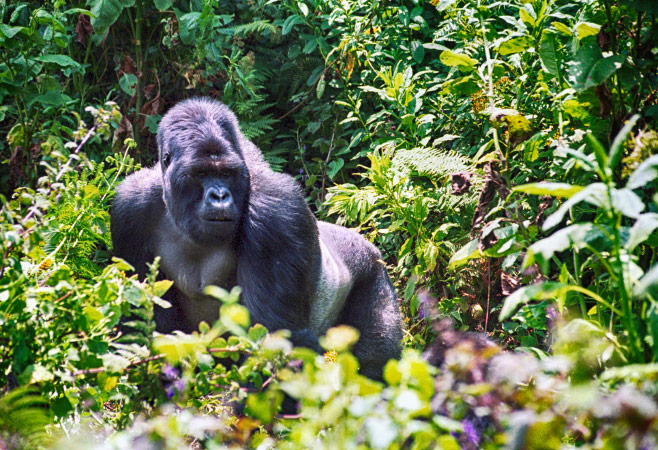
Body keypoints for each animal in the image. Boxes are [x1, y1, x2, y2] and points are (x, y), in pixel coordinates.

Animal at [111, 98, 402, 379]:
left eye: (226, 173)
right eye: (201, 173)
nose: (219, 196)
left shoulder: (275, 211)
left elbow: (274, 339)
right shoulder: (129, 208)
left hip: (374, 273)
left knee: (375, 367)